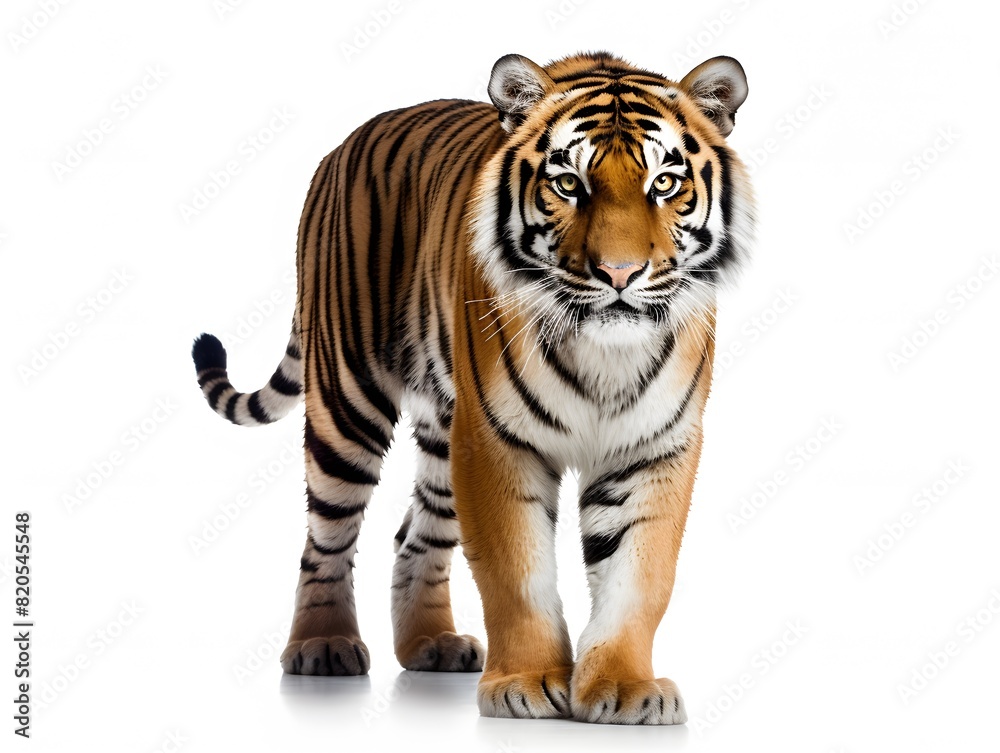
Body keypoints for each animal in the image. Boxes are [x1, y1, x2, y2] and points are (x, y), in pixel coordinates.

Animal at [191, 51, 754, 725]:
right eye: (569, 184)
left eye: (665, 184)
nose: (619, 274)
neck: (604, 352)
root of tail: (342, 145)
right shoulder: (495, 440)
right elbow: (516, 572)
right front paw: (527, 683)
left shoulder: (654, 447)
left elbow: (640, 576)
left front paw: (624, 688)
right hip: (349, 399)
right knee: (326, 534)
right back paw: (322, 645)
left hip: (443, 428)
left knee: (414, 536)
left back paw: (430, 643)